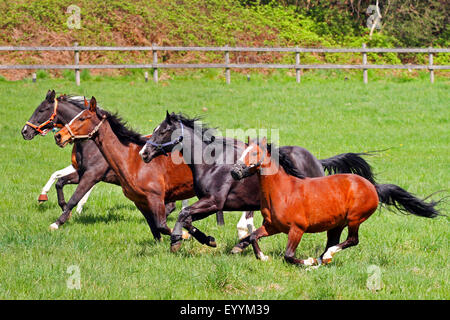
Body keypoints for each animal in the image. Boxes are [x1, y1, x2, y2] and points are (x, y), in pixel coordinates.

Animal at [140, 112, 376, 252]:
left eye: (163, 131)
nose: (144, 153)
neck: (212, 161)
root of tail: (317, 160)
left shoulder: (214, 202)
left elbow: (183, 213)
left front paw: (176, 240)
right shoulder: (210, 204)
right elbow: (188, 218)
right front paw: (208, 239)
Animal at [230, 138, 442, 264]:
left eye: (254, 153)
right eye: (243, 151)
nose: (234, 171)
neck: (283, 191)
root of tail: (372, 187)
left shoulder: (297, 229)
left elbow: (289, 256)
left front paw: (307, 262)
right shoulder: (272, 226)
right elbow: (252, 236)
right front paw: (261, 256)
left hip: (355, 219)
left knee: (351, 240)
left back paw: (326, 257)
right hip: (336, 224)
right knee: (333, 242)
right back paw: (323, 259)